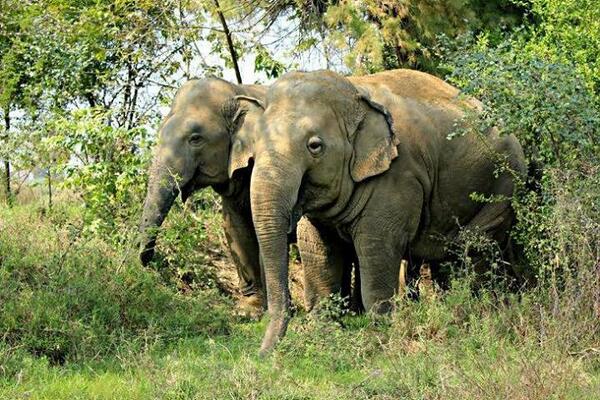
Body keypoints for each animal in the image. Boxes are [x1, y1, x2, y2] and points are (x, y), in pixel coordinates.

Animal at [228, 69, 527, 354]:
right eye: (254, 148)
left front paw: (378, 337)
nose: (261, 356)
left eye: (315, 146)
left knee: (477, 253)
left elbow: (377, 247)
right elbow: (316, 247)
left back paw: (480, 314)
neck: (353, 90)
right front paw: (327, 335)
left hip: (503, 188)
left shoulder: (398, 177)